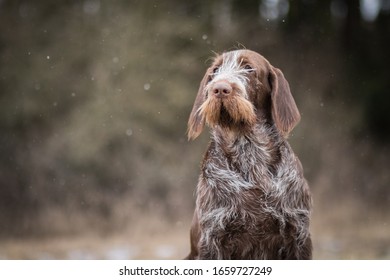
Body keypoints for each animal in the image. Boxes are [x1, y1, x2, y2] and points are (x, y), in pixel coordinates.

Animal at [185, 48, 310, 260]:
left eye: (249, 68)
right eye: (216, 70)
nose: (220, 89)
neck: (249, 149)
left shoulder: (298, 234)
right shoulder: (212, 238)